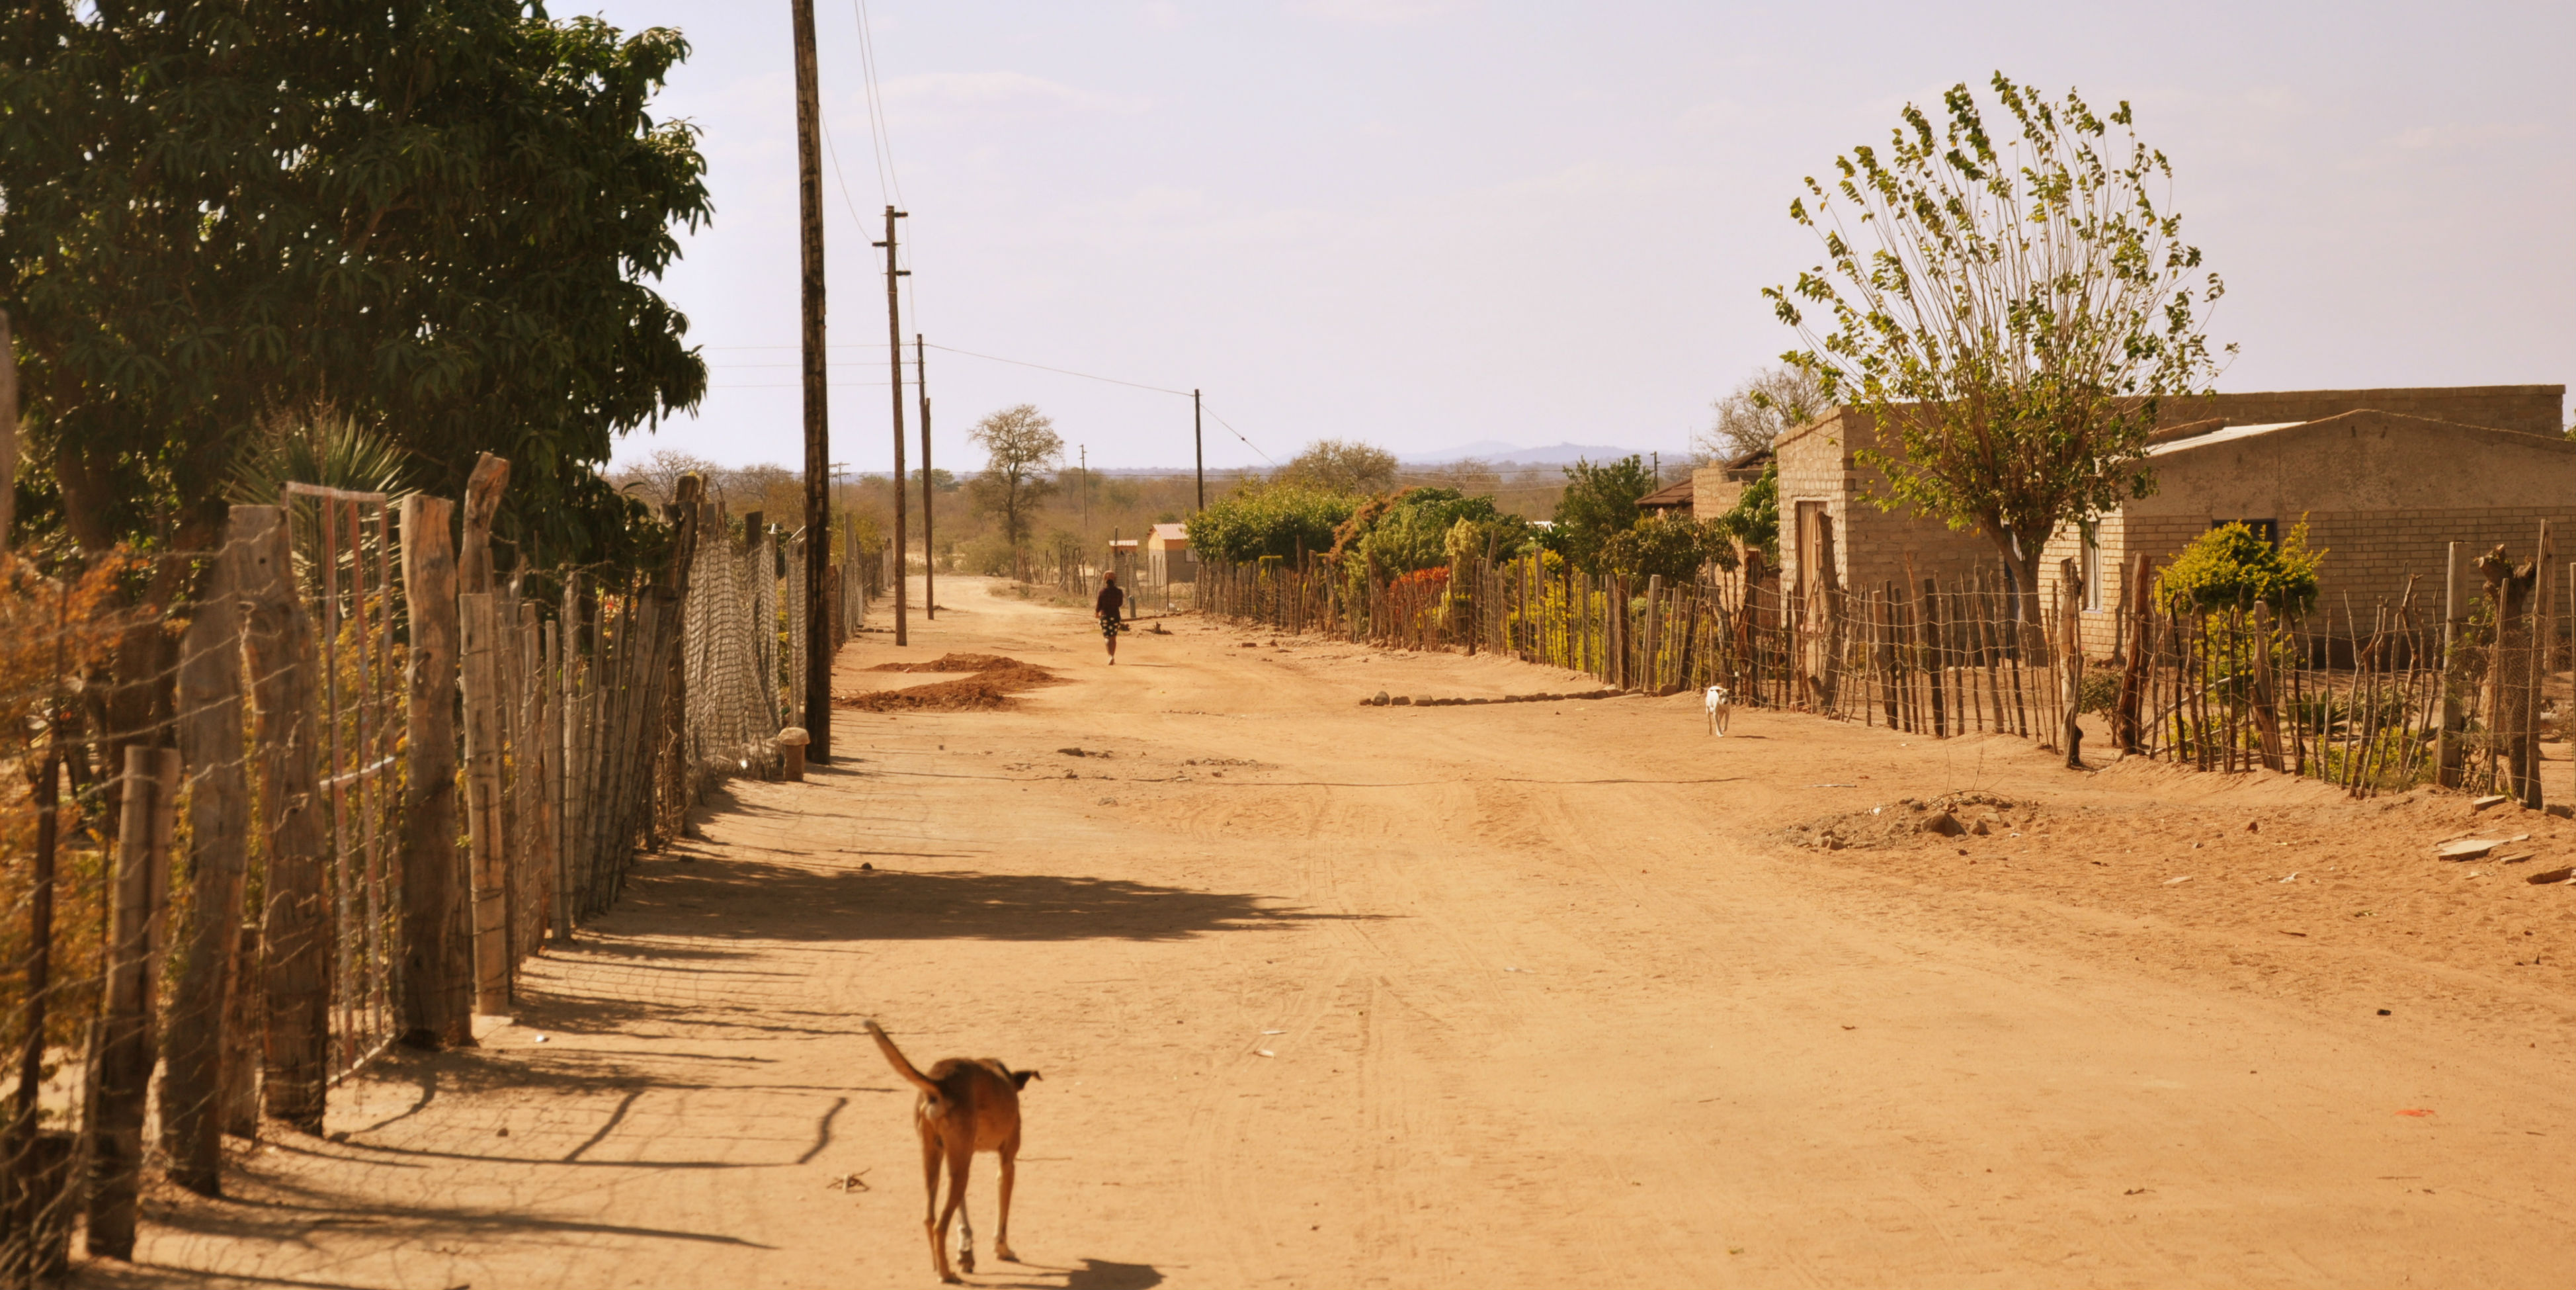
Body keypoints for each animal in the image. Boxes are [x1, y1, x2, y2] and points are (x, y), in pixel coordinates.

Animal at [870, 1014, 1040, 1277]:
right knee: (940, 1225)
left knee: (930, 1218)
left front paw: (965, 1254)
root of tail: (939, 1082)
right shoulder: (1007, 1163)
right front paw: (1002, 1249)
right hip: (958, 1168)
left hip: (935, 1159)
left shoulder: (960, 1155)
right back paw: (946, 1274)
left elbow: (962, 1213)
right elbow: (1002, 1216)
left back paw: (938, 1265)